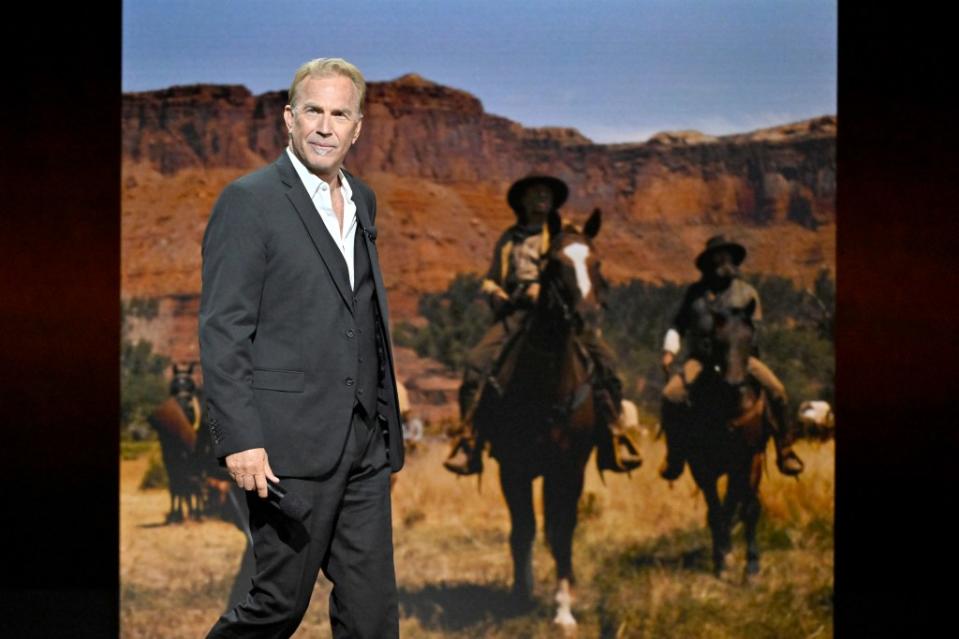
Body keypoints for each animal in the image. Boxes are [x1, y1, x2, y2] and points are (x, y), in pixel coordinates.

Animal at [474, 208, 608, 628]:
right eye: (556, 265)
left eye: (596, 263)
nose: (586, 319)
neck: (544, 387)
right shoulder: (512, 467)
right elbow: (523, 529)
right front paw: (521, 594)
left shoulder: (570, 467)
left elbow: (561, 531)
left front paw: (564, 609)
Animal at [680, 300, 776, 580]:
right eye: (716, 341)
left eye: (749, 338)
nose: (734, 384)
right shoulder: (701, 465)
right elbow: (716, 509)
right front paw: (721, 561)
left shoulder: (748, 459)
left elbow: (746, 508)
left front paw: (751, 566)